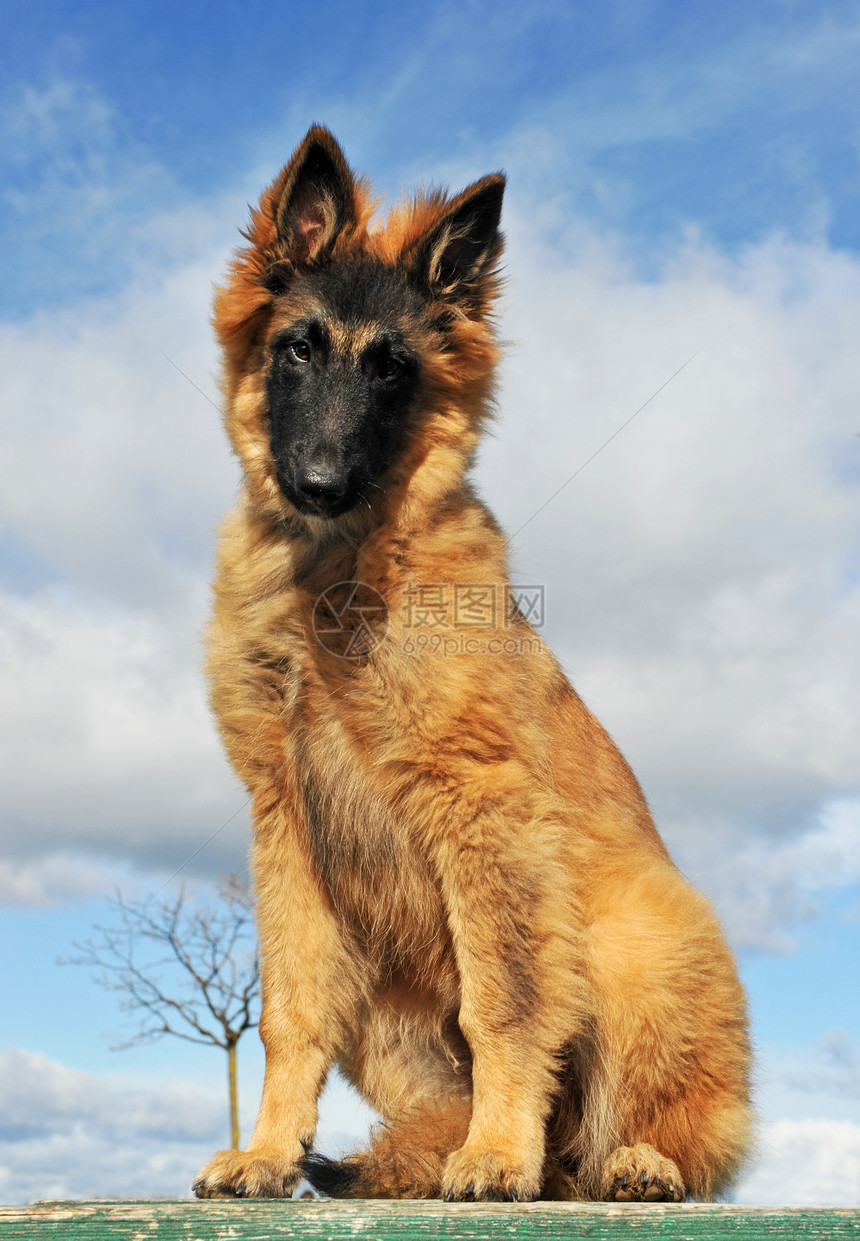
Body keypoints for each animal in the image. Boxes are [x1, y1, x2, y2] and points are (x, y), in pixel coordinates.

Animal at [191, 128, 749, 1201]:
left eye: (393, 371)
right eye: (298, 348)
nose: (319, 483)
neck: (337, 574)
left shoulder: (481, 809)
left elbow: (509, 1001)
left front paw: (494, 1154)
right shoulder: (286, 826)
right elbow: (289, 1013)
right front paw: (269, 1152)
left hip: (632, 938)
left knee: (668, 1135)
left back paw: (628, 1161)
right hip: (380, 989)